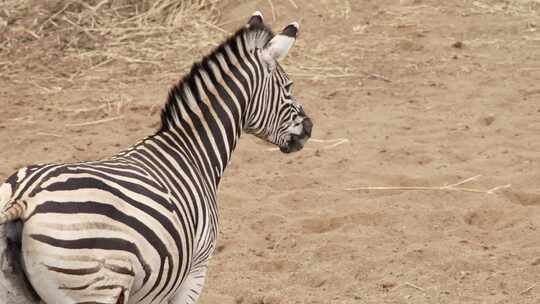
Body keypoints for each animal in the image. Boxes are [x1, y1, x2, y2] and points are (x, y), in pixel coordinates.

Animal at [0, 11, 312, 304]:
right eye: (288, 87)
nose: (309, 129)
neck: (192, 151)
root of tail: (23, 198)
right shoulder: (195, 271)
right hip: (96, 285)